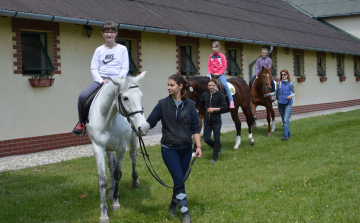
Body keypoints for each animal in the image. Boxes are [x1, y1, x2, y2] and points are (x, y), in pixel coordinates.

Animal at [87, 72, 148, 223]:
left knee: (133, 156)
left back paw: (135, 182)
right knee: (111, 164)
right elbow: (103, 180)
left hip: (133, 140)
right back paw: (110, 191)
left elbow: (118, 174)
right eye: (125, 98)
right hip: (109, 149)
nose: (143, 127)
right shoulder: (98, 147)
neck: (108, 119)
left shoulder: (121, 148)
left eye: (141, 95)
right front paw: (104, 213)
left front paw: (115, 203)